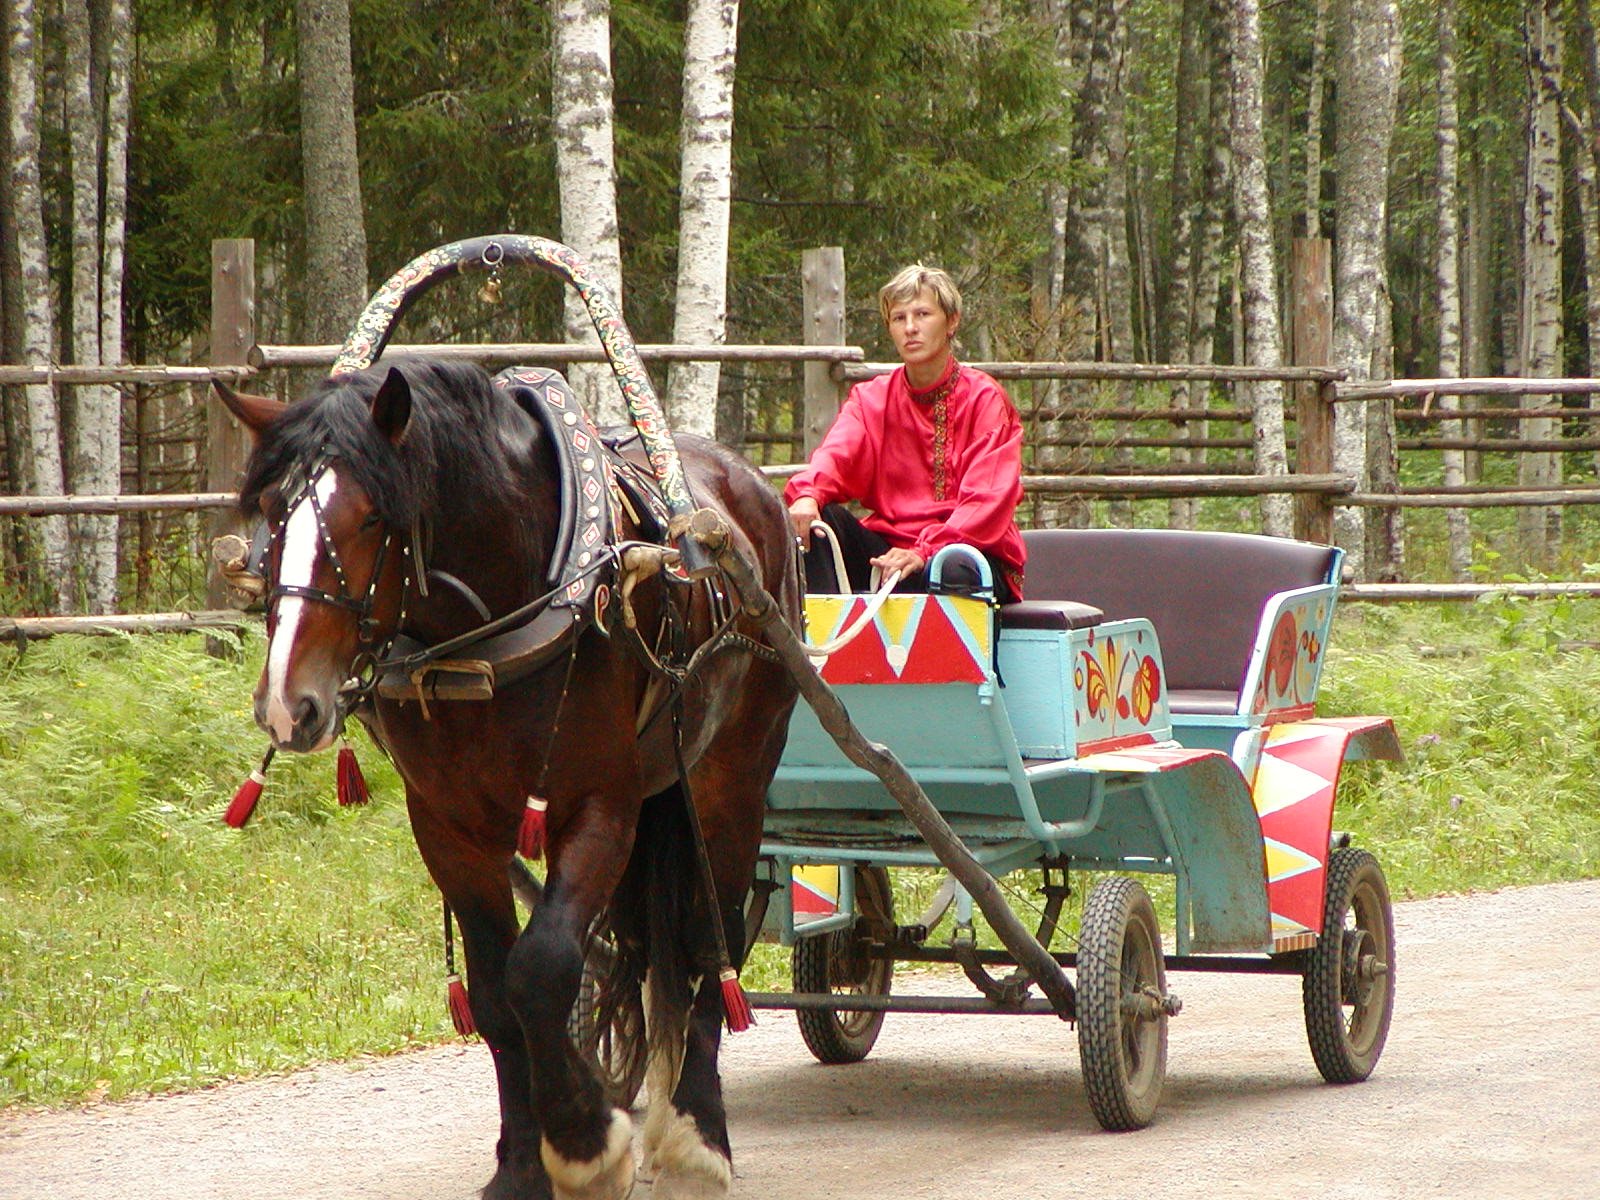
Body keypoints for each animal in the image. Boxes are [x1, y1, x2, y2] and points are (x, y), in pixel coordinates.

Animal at [216, 359, 800, 1200]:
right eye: (269, 514)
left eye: (369, 519)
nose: (287, 703)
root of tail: (749, 484)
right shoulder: (448, 827)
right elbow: (496, 995)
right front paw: (523, 1162)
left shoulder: (600, 807)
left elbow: (542, 968)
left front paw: (588, 1143)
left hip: (735, 778)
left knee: (704, 947)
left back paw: (698, 1135)